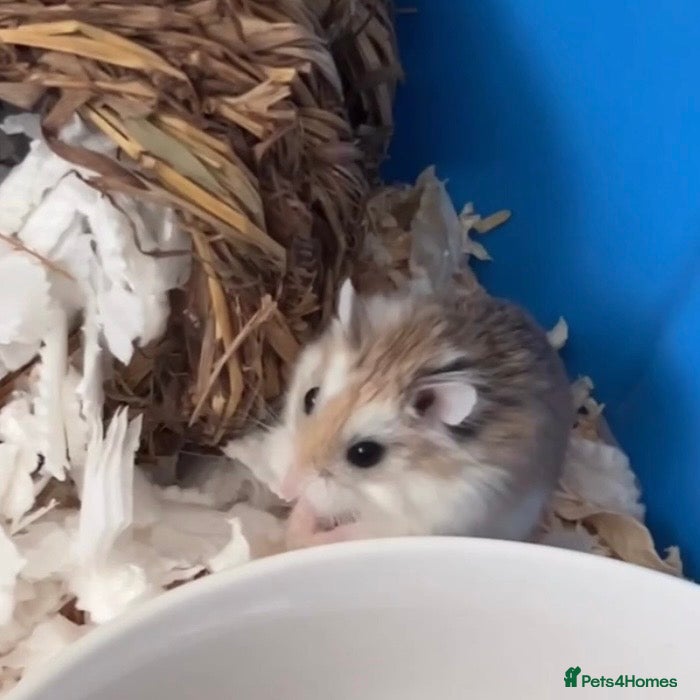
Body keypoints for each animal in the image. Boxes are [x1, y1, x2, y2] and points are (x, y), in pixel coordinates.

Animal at [223, 279, 573, 550]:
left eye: (364, 454)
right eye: (309, 398)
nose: (285, 490)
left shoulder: (417, 521)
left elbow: (350, 530)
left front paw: (298, 529)